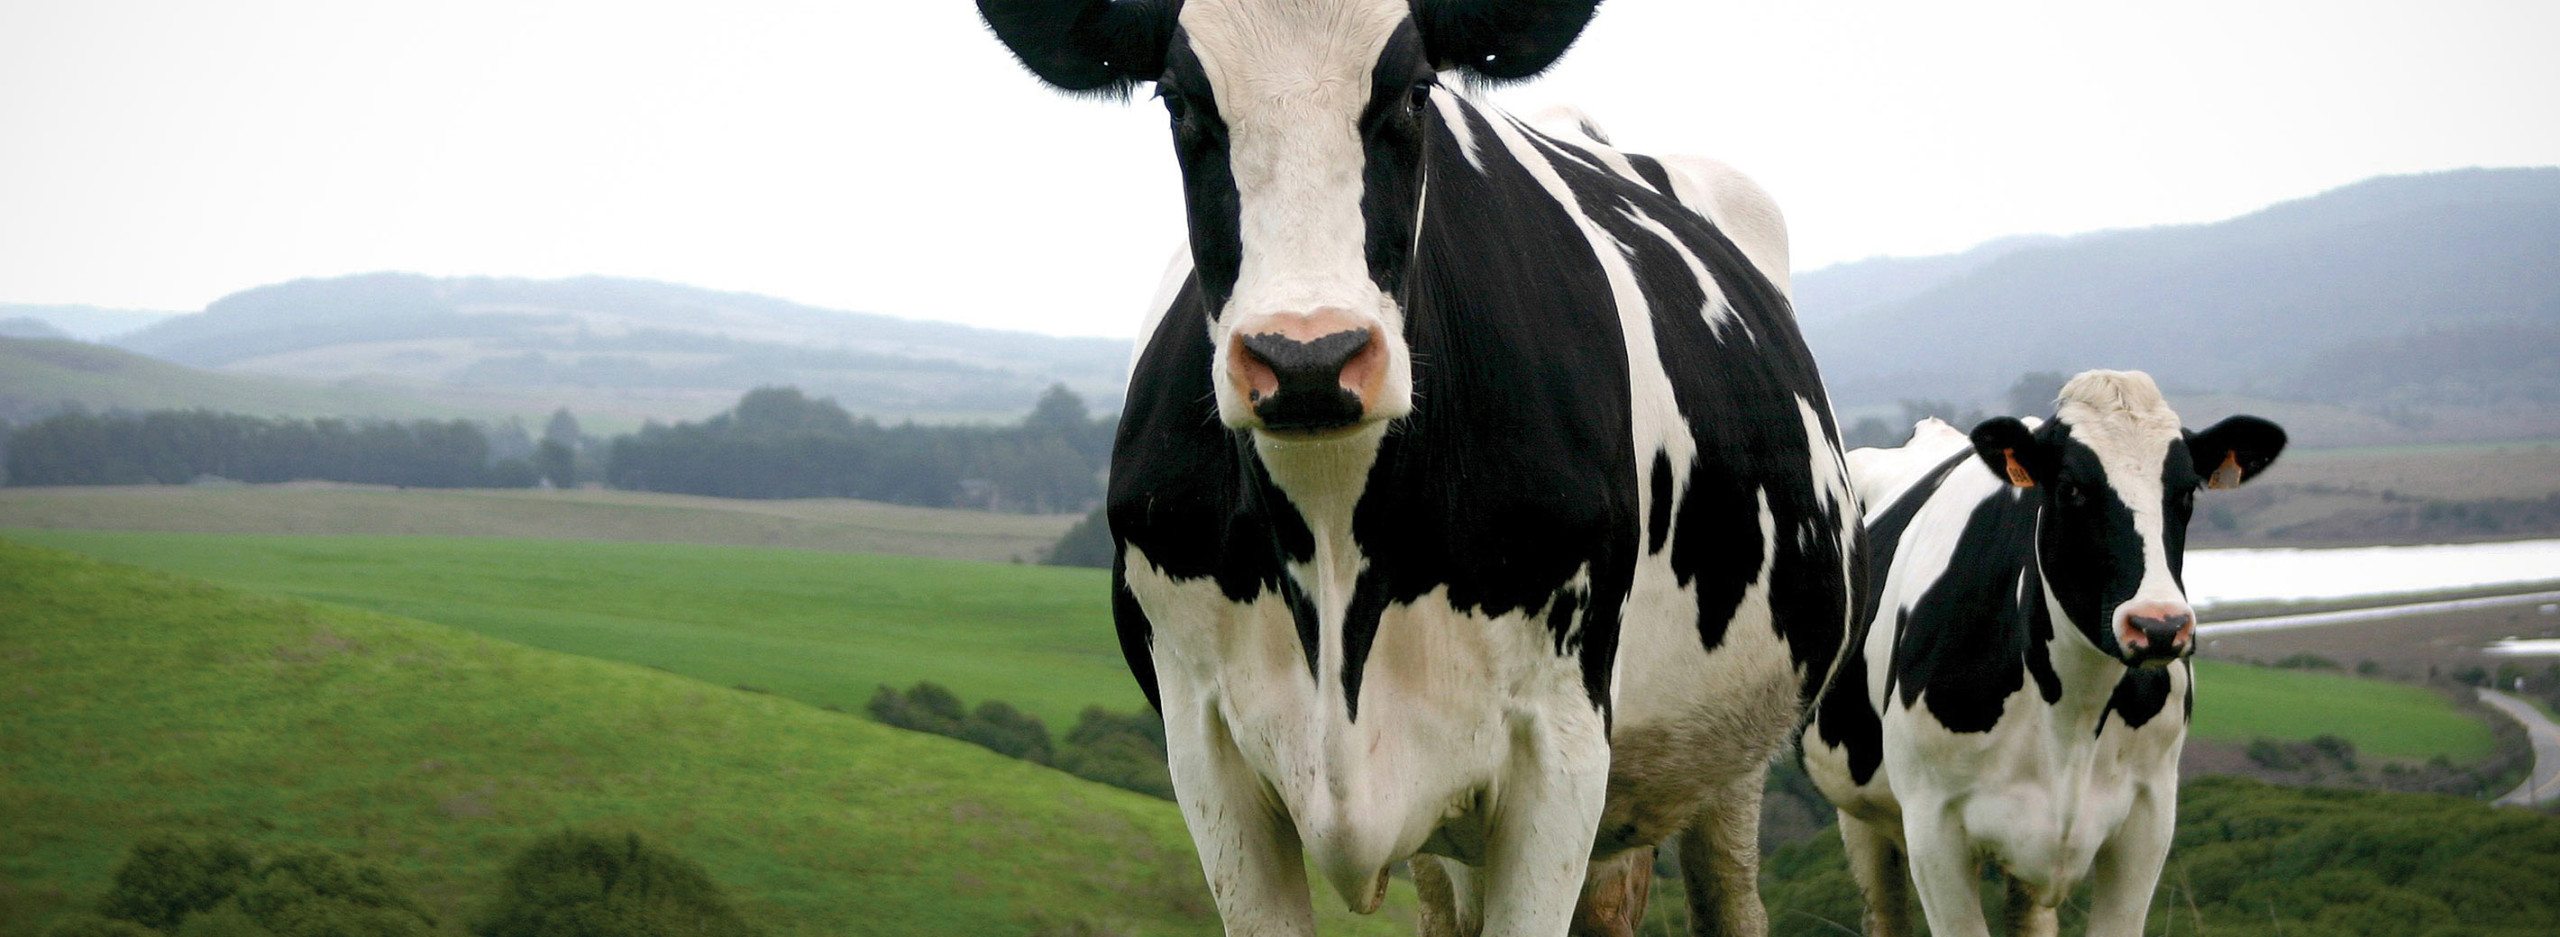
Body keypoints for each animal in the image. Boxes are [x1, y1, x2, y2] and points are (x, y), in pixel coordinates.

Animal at [977, 2, 1862, 934]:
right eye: (1181, 102)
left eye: (1413, 93)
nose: (1308, 358)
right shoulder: (1203, 743)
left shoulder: (1562, 745)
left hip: (1729, 752)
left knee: (1724, 885)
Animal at [1799, 370, 2286, 937]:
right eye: (2071, 488)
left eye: (2186, 491)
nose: (2159, 625)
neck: (2072, 712)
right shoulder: (1932, 828)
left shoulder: (2149, 818)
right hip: (1859, 809)